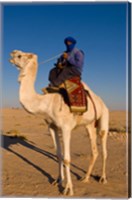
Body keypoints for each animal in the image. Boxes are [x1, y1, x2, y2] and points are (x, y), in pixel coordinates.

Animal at [9, 49, 109, 195]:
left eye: (20, 55)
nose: (11, 53)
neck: (47, 103)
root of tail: (102, 102)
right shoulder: (52, 126)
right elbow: (58, 155)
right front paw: (58, 181)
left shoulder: (66, 128)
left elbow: (67, 158)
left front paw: (68, 189)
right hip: (89, 125)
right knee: (94, 150)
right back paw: (85, 178)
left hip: (104, 118)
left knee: (103, 147)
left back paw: (102, 178)